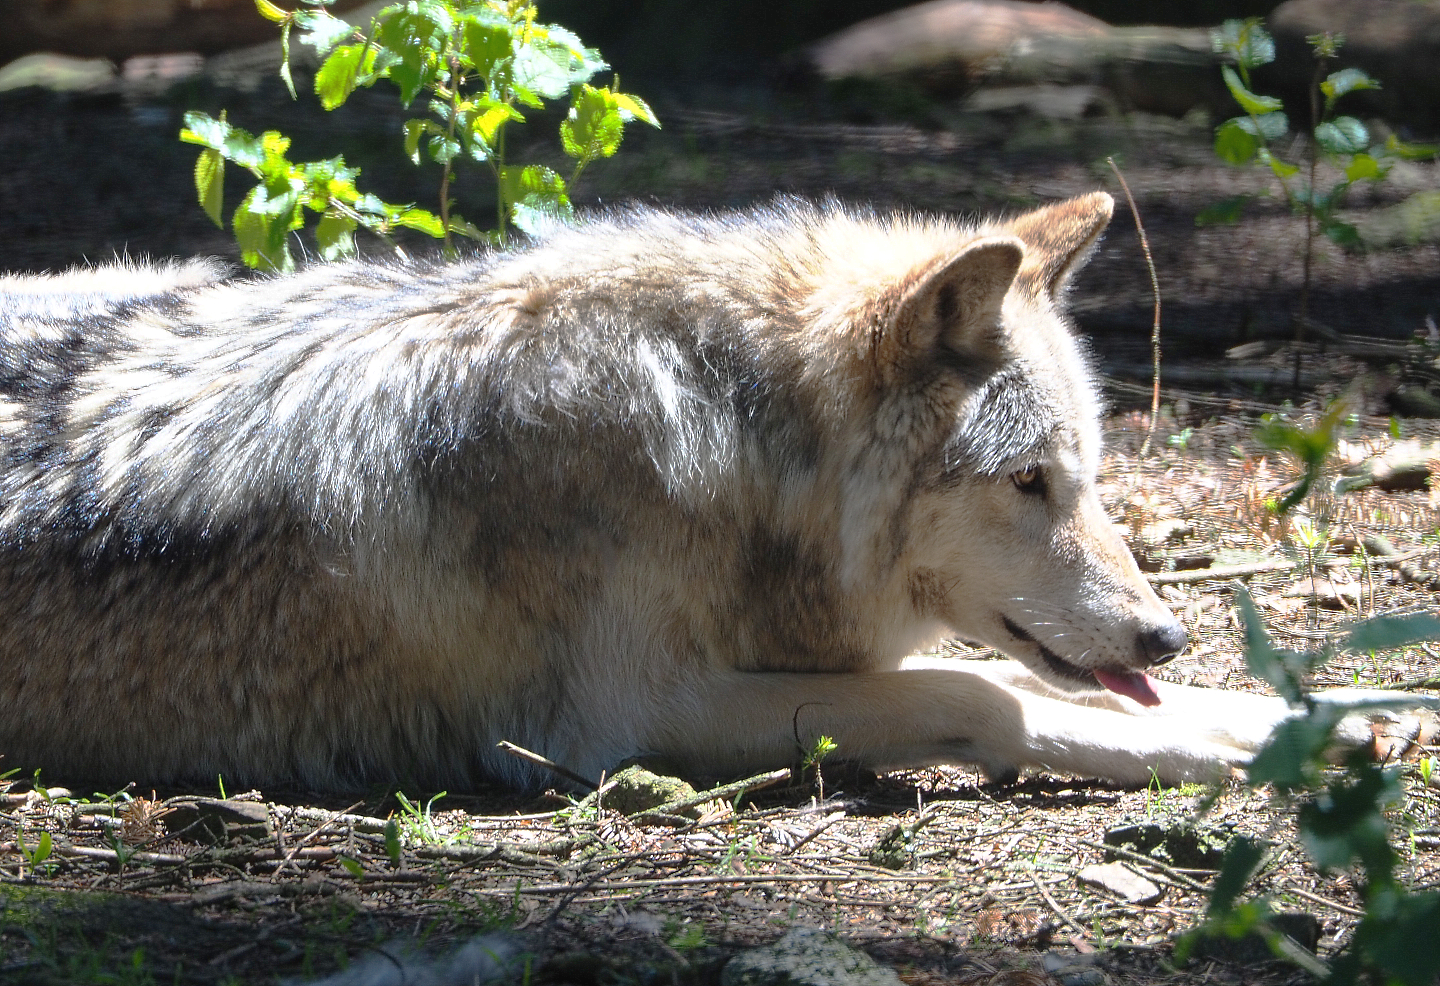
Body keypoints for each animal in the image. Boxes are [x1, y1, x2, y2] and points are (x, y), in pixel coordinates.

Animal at [0, 194, 1389, 791]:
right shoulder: (619, 718)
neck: (732, 444)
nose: (1164, 634)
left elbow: (1040, 686)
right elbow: (981, 694)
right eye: (1028, 482)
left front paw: (1315, 710)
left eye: (1090, 477)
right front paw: (1216, 739)